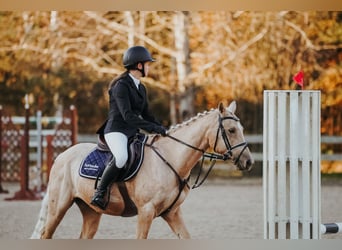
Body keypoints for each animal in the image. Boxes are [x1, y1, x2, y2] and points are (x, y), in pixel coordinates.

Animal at [30, 100, 254, 239]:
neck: (170, 159)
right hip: (58, 208)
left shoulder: (172, 213)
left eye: (242, 129)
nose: (249, 162)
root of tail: (62, 156)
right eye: (231, 130)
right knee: (46, 235)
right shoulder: (145, 212)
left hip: (91, 211)